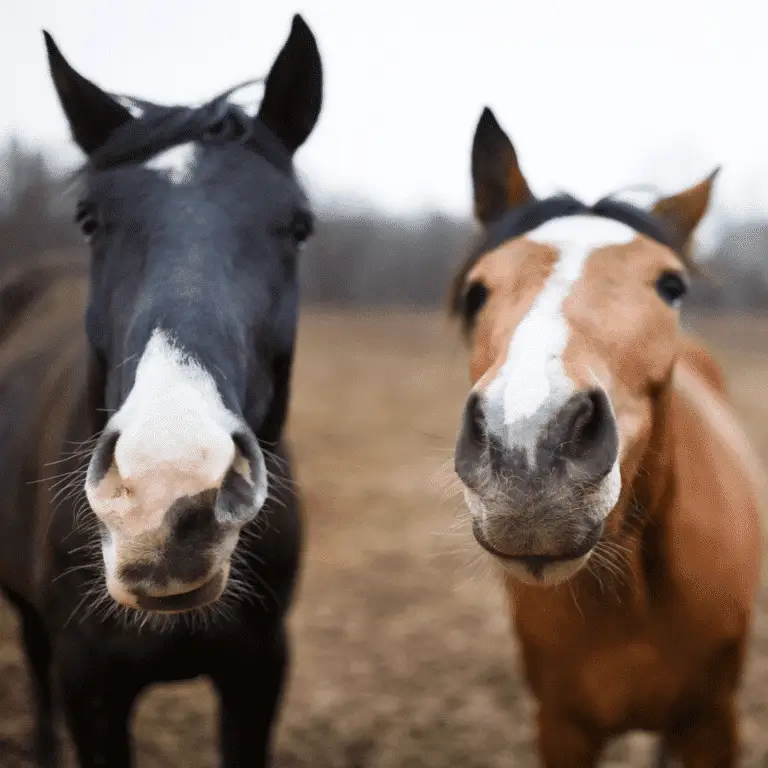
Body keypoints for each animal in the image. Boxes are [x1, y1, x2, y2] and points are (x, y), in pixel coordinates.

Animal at [448, 106, 764, 760]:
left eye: (672, 286)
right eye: (477, 291)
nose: (529, 448)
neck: (631, 603)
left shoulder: (713, 723)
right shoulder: (562, 728)